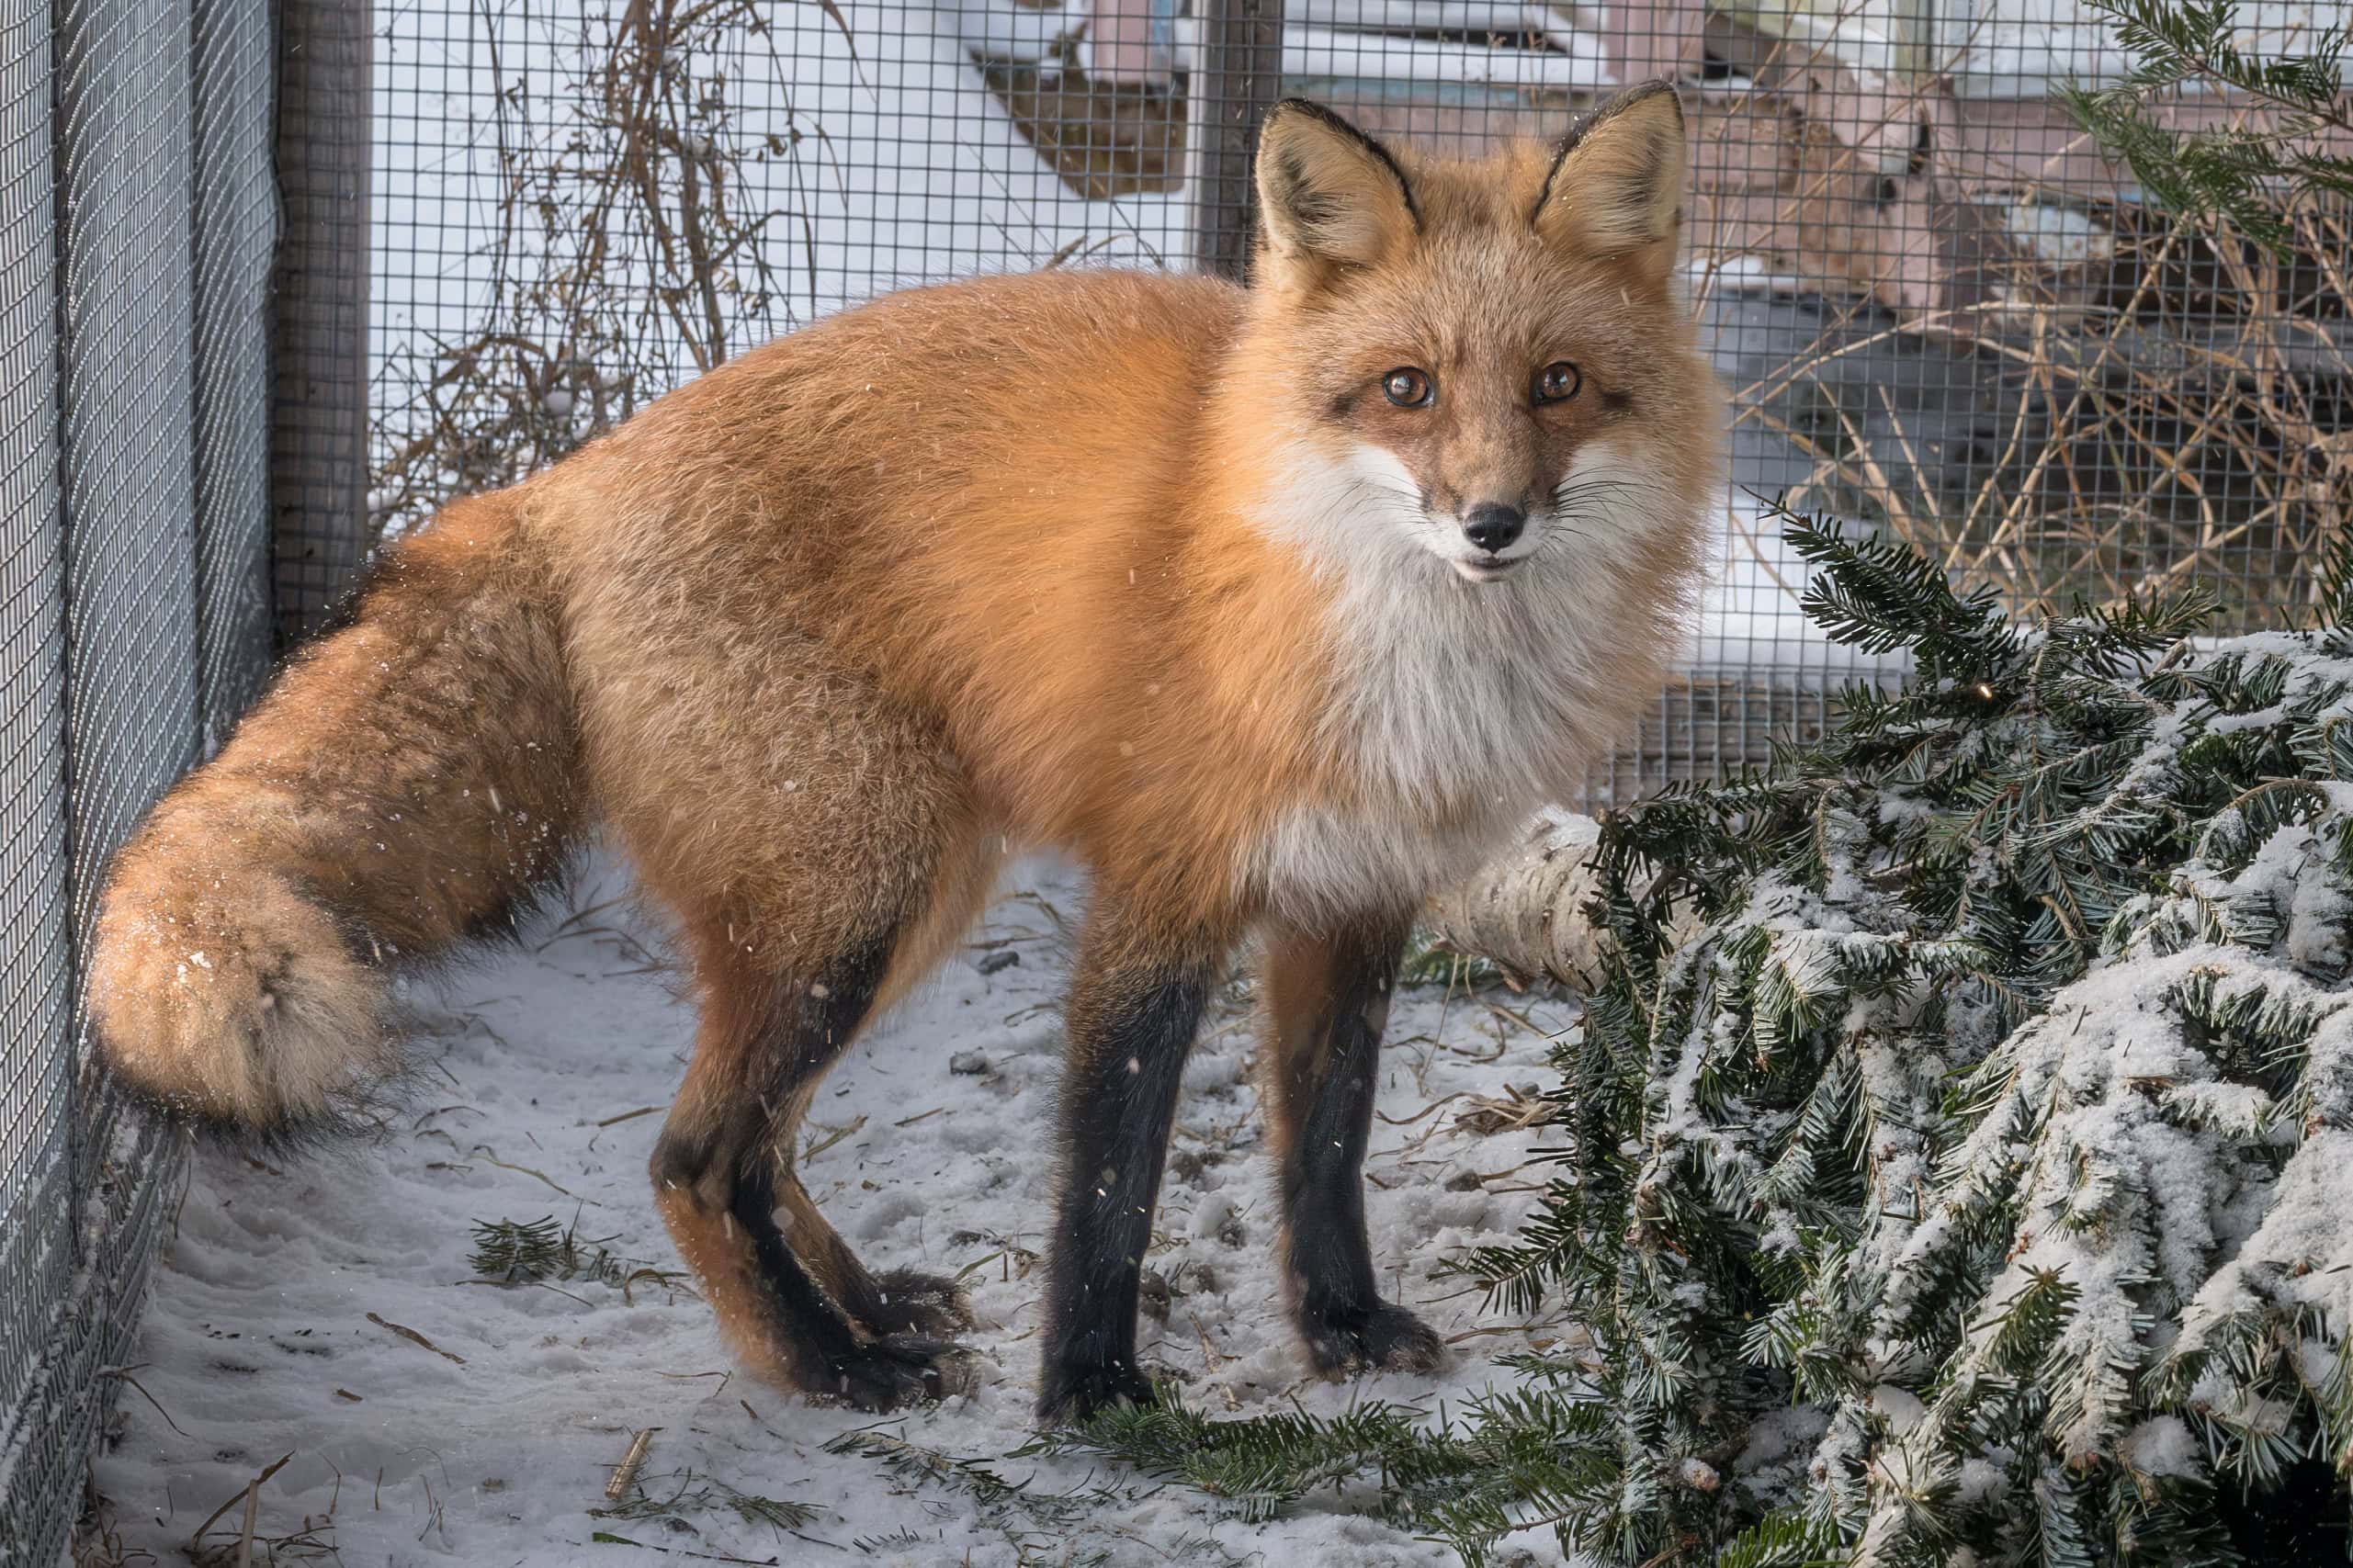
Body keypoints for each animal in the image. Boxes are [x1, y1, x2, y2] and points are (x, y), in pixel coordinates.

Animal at [85, 82, 1721, 1422]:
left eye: (1557, 384)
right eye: (1407, 389)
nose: (1491, 523)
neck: (1385, 637)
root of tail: (568, 482)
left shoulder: (1354, 899)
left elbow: (1326, 1142)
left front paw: (1341, 1329)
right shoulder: (1158, 892)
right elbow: (1110, 1176)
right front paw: (1092, 1393)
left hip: (902, 899)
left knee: (761, 1148)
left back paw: (866, 1309)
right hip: (855, 901)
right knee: (690, 1157)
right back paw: (825, 1369)